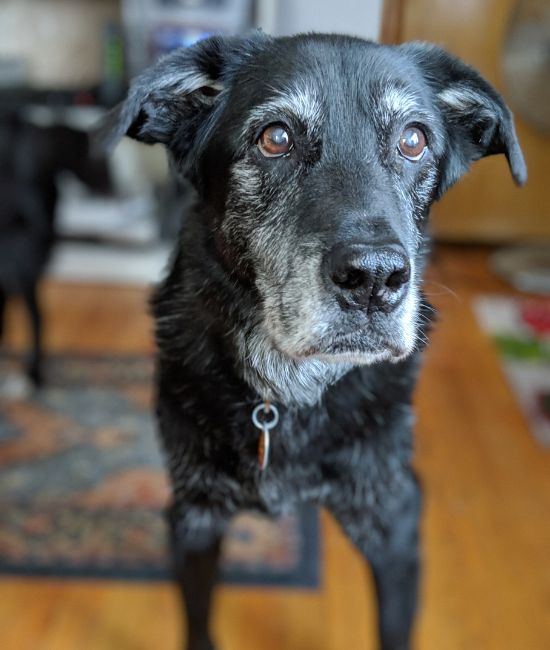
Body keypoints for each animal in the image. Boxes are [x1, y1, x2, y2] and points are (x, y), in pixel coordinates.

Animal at [104, 34, 532, 648]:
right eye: (275, 137)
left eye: (413, 140)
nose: (375, 279)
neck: (290, 391)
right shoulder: (192, 517)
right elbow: (198, 620)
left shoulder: (394, 519)